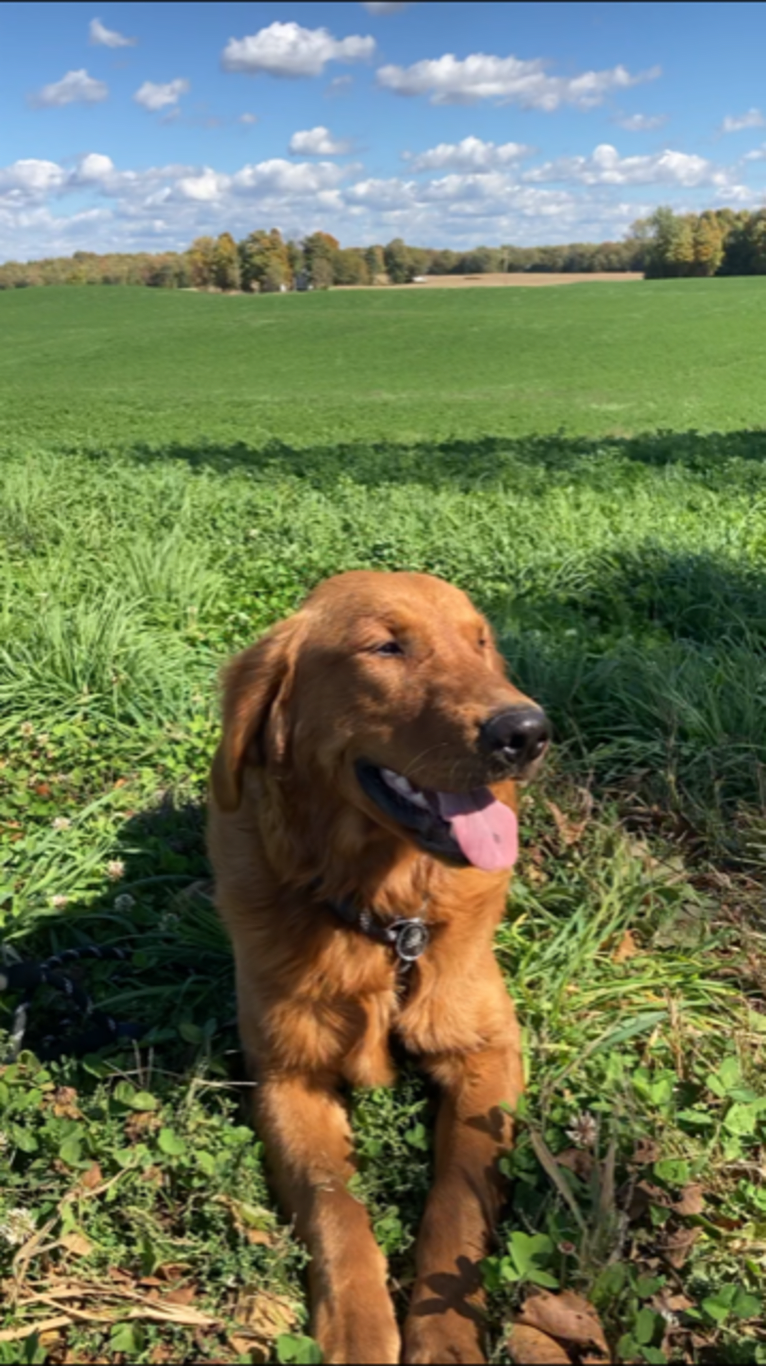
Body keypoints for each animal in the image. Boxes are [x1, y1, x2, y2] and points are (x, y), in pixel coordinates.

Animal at [206, 570, 546, 1360]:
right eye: (387, 647)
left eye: (480, 642)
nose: (525, 733)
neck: (387, 920)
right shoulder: (287, 1076)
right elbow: (334, 1203)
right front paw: (359, 1330)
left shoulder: (490, 1051)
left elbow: (457, 1197)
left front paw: (445, 1335)